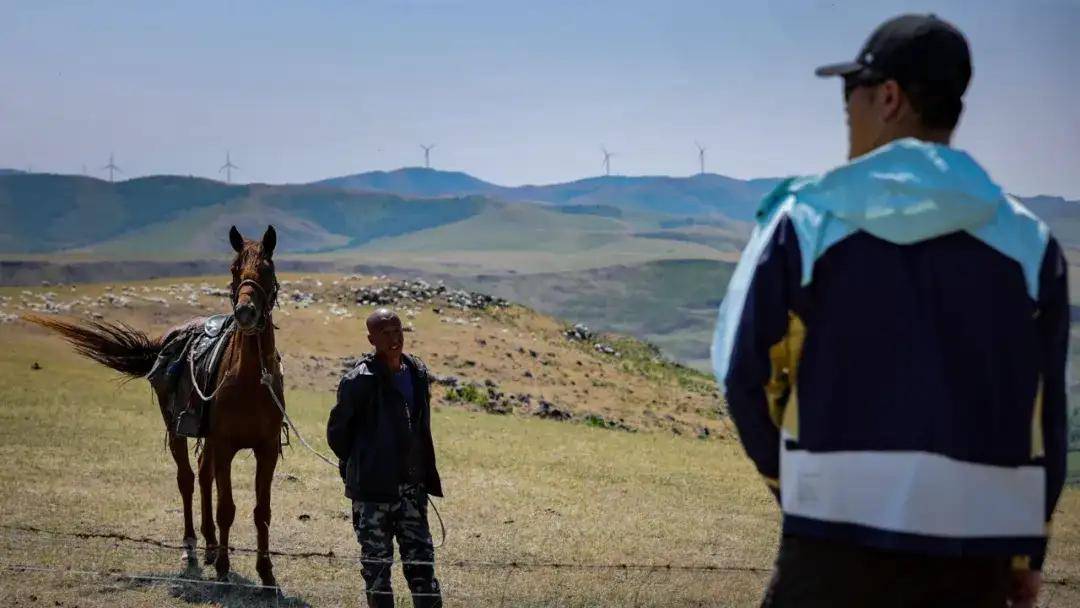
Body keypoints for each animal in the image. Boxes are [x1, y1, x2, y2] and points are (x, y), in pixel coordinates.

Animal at [26, 224, 285, 591]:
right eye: (234, 270)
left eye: (267, 269)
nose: (245, 313)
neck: (249, 379)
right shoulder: (225, 445)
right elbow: (227, 508)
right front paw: (224, 569)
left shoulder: (267, 448)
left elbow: (262, 511)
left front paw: (267, 574)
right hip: (176, 428)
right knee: (187, 479)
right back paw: (193, 545)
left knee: (203, 475)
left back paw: (209, 545)